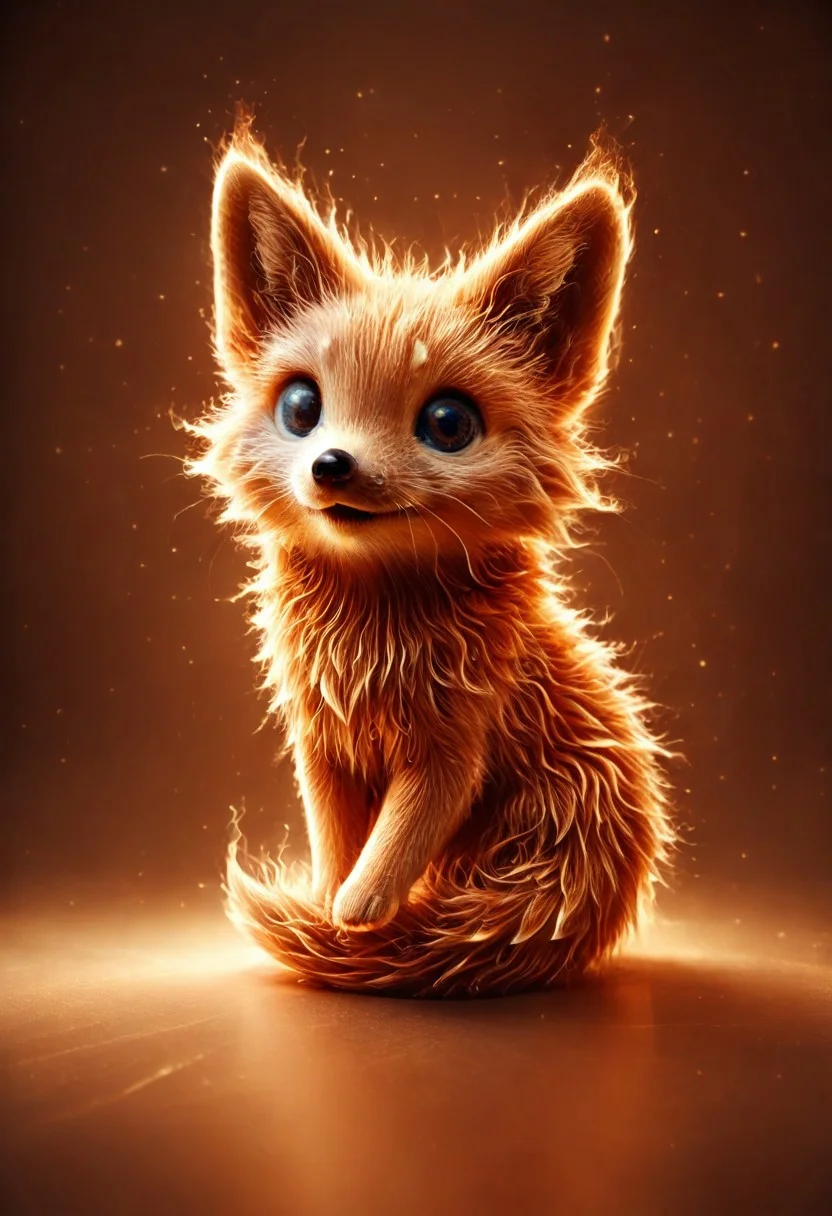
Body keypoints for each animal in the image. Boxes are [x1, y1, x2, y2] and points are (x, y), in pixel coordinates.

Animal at [188, 126, 674, 997]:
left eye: (448, 423)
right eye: (302, 407)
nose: (333, 465)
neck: (374, 627)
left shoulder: (456, 745)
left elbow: (401, 835)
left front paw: (356, 911)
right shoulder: (321, 738)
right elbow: (337, 835)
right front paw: (330, 901)